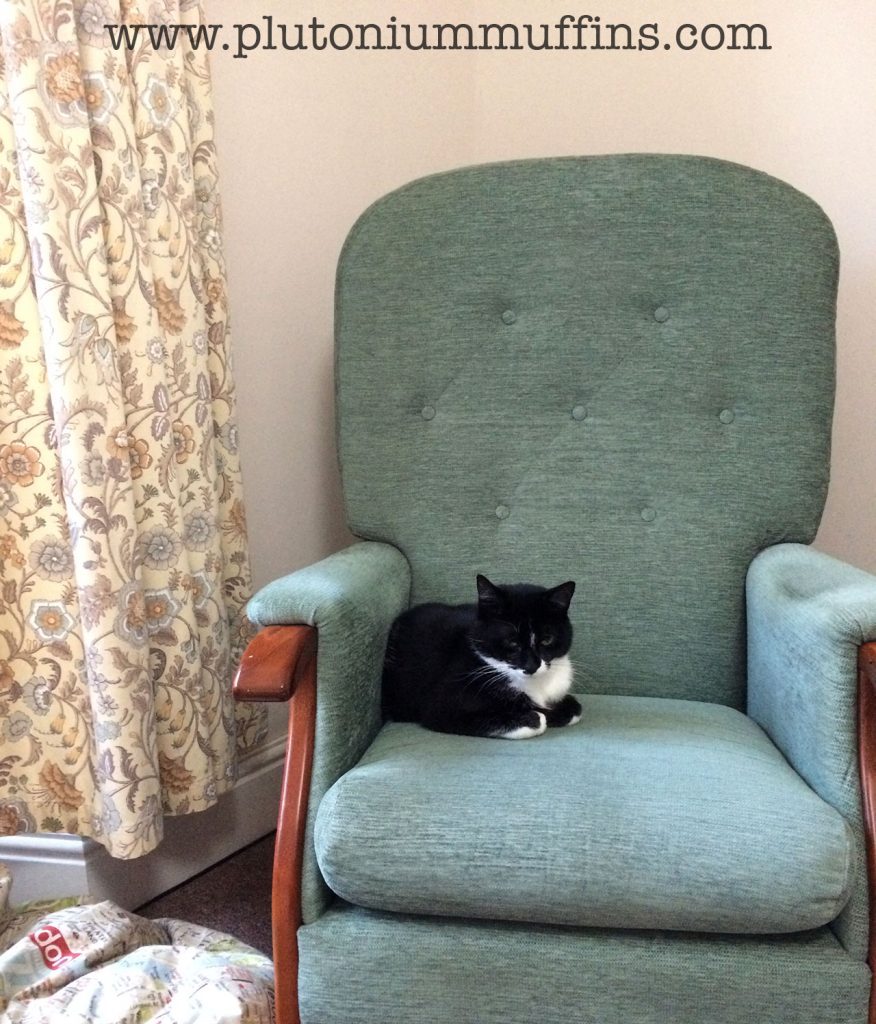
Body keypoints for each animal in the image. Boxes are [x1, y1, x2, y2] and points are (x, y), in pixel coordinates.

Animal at [379, 577, 577, 737]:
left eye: (547, 640)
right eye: (512, 642)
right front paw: (532, 717)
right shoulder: (441, 706)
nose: (531, 666)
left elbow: (575, 708)